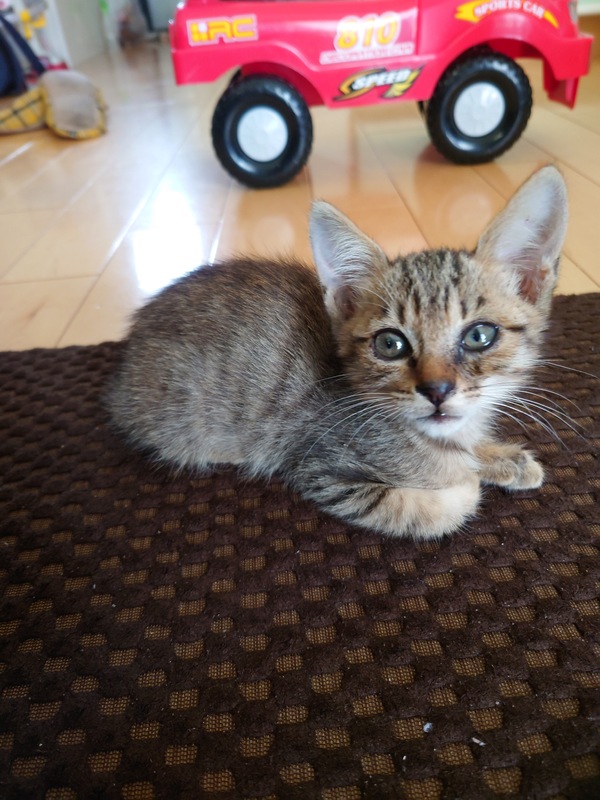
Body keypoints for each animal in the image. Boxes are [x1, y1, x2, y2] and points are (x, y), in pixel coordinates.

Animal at [109, 165, 568, 539]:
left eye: (479, 336)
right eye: (390, 344)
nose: (437, 390)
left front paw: (501, 458)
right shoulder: (319, 469)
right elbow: (433, 508)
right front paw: (467, 482)